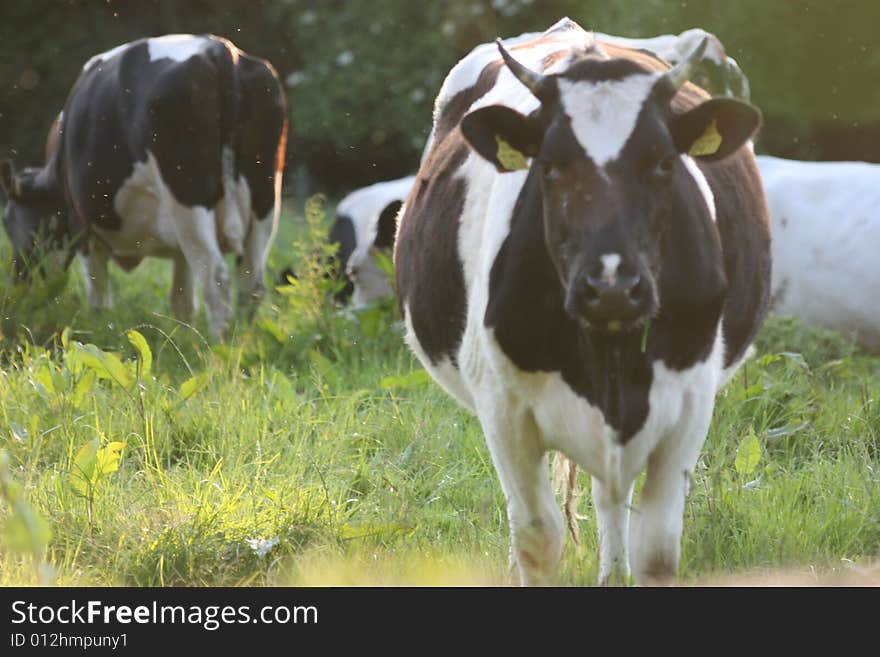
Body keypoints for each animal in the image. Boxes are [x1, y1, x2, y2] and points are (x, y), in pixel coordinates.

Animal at [0, 34, 288, 338]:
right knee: (251, 282)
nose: (18, 286)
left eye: (9, 223)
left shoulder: (83, 228)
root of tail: (217, 47)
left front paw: (100, 330)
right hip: (264, 201)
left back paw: (218, 345)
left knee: (216, 276)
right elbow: (183, 301)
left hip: (187, 196)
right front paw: (184, 339)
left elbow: (99, 296)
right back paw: (243, 340)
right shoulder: (178, 246)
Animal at [394, 19, 768, 584]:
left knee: (611, 497)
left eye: (664, 163)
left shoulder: (689, 403)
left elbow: (657, 549)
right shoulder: (502, 409)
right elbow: (538, 539)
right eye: (549, 166)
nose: (611, 286)